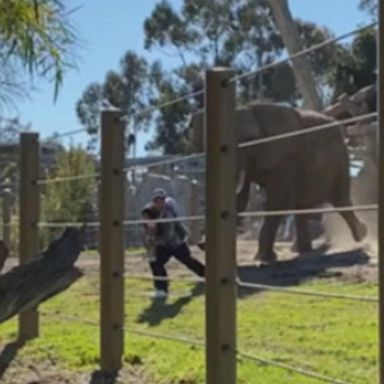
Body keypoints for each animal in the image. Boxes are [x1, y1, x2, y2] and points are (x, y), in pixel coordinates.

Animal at [190, 101, 368, 264]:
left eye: (250, 140)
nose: (201, 244)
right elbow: (240, 198)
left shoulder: (283, 155)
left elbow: (278, 200)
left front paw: (264, 259)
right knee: (301, 205)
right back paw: (300, 250)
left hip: (339, 159)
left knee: (340, 200)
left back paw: (361, 234)